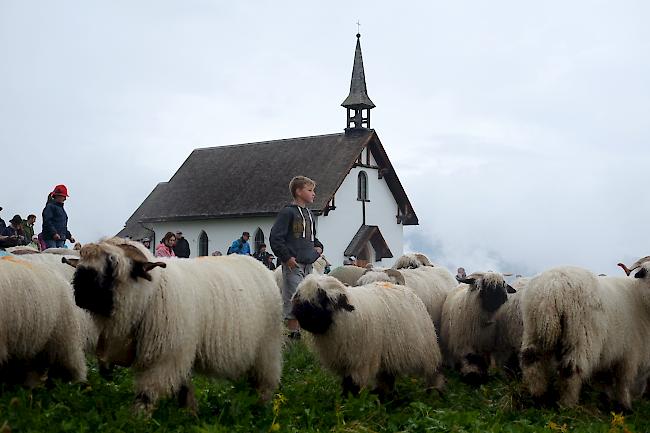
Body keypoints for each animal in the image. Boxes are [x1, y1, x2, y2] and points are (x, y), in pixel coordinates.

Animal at [69, 238, 282, 410]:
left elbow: (146, 394)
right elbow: (183, 387)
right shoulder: (179, 351)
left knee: (265, 383)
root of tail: (261, 267)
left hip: (267, 347)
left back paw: (260, 410)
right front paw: (189, 413)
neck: (151, 294)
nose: (79, 290)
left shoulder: (166, 354)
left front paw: (136, 419)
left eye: (112, 263)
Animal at [292, 276, 442, 396]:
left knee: (434, 371)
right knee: (387, 376)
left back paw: (434, 392)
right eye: (299, 297)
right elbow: (346, 382)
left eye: (324, 298)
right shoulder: (345, 360)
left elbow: (352, 384)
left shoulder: (359, 361)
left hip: (426, 349)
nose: (303, 318)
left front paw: (350, 404)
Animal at [520, 260, 650, 408]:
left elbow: (605, 381)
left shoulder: (610, 355)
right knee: (571, 370)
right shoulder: (630, 353)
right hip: (581, 335)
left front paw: (605, 400)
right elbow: (624, 381)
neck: (640, 297)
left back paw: (538, 396)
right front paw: (625, 405)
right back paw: (567, 404)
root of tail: (552, 287)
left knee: (531, 360)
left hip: (533, 328)